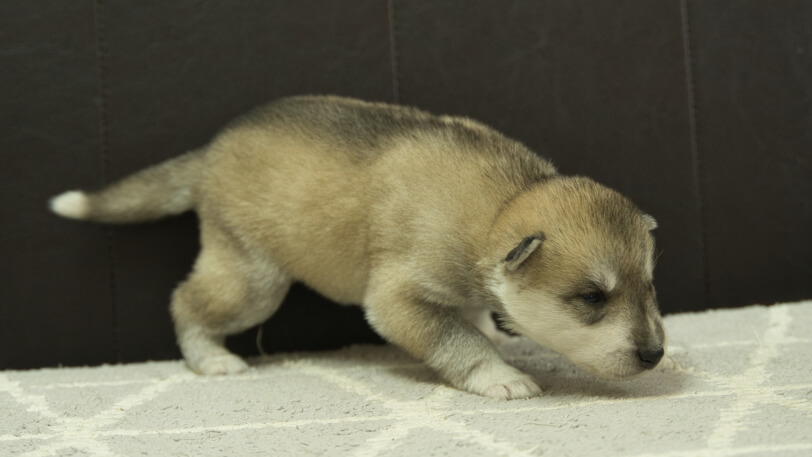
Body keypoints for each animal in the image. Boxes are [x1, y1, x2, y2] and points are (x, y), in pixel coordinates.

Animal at [54, 94, 668, 398]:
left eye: (650, 286)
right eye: (592, 298)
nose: (656, 355)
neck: (497, 211)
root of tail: (207, 153)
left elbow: (471, 319)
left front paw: (495, 331)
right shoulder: (398, 299)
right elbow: (457, 339)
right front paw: (500, 375)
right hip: (252, 278)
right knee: (187, 301)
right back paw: (211, 359)